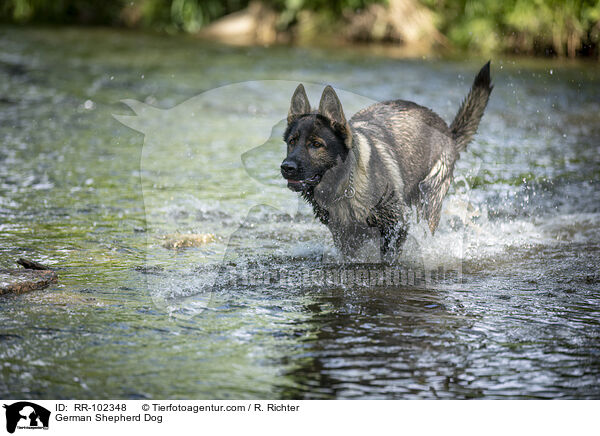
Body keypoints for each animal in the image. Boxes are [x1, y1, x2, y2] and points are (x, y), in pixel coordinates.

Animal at [282, 61, 492, 262]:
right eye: (292, 141)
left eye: (316, 144)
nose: (286, 167)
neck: (345, 186)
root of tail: (448, 131)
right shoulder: (346, 239)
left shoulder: (396, 226)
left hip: (429, 198)